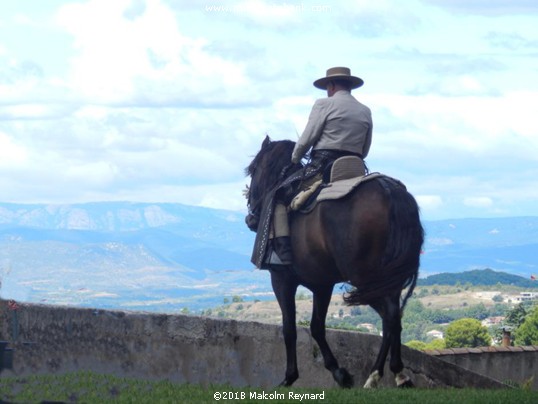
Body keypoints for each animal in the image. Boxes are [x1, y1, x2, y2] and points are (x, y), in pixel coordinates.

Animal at [244, 137, 422, 388]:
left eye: (253, 170)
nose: (251, 218)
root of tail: (390, 191)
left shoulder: (281, 279)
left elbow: (289, 328)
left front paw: (290, 377)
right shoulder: (322, 285)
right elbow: (317, 327)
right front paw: (340, 373)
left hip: (366, 280)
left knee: (389, 316)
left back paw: (375, 375)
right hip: (386, 279)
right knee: (394, 317)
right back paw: (398, 373)